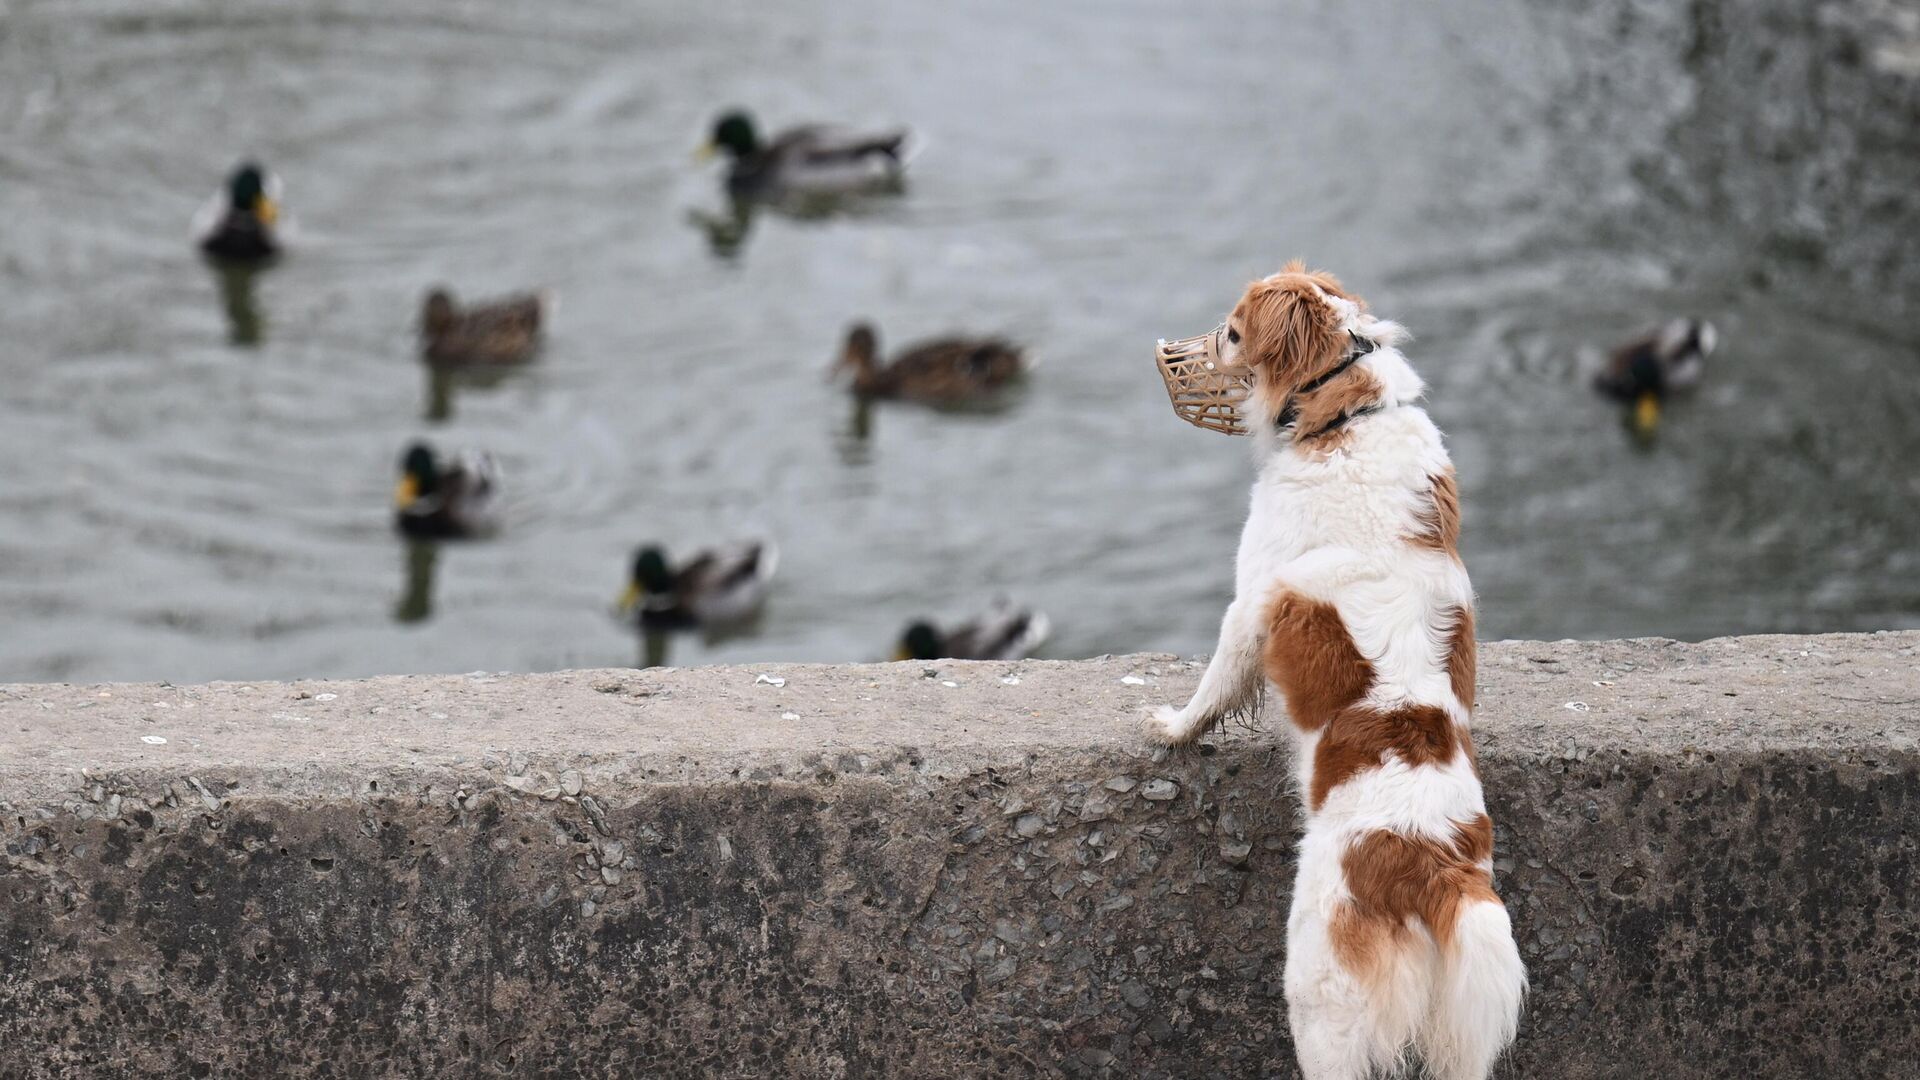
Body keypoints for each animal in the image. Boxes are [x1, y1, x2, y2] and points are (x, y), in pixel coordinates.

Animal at [1144, 261, 1520, 1076]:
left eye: (1231, 332)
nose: (1172, 356)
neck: (1350, 416)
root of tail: (1434, 869)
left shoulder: (1250, 598)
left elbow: (1214, 683)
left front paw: (1175, 728)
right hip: (1464, 1035)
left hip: (1320, 1000)